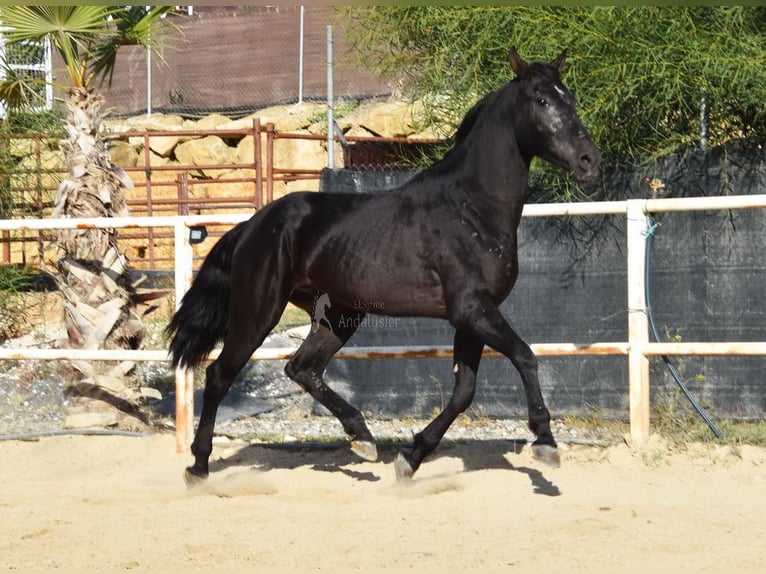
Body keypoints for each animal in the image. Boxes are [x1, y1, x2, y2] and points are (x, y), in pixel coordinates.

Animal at [166, 47, 600, 484]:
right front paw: (545, 442)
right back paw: (198, 466)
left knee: (302, 368)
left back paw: (363, 437)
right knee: (220, 376)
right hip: (258, 312)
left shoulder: (471, 317)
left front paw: (411, 458)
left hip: (338, 316)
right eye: (542, 100)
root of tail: (250, 226)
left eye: (569, 99)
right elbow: (525, 356)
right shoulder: (472, 309)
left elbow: (464, 392)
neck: (471, 207)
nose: (589, 160)